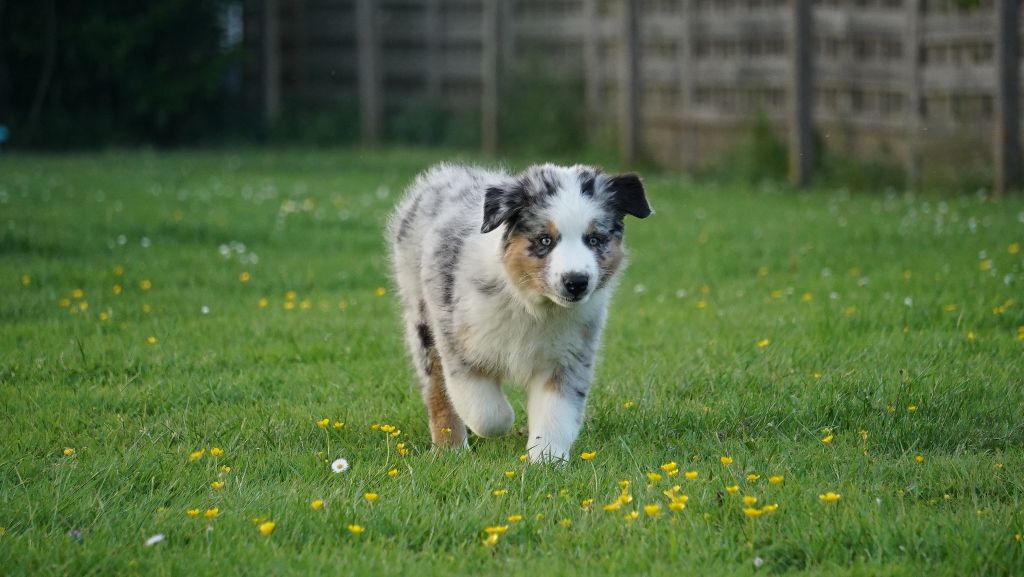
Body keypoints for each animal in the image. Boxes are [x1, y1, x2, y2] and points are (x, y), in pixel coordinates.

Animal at [387, 163, 651, 465]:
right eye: (545, 240)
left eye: (595, 239)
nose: (576, 281)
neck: (532, 306)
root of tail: (449, 173)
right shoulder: (457, 340)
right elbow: (486, 411)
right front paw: (505, 421)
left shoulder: (568, 357)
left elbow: (556, 413)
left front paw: (547, 461)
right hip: (420, 316)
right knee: (437, 390)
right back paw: (449, 449)